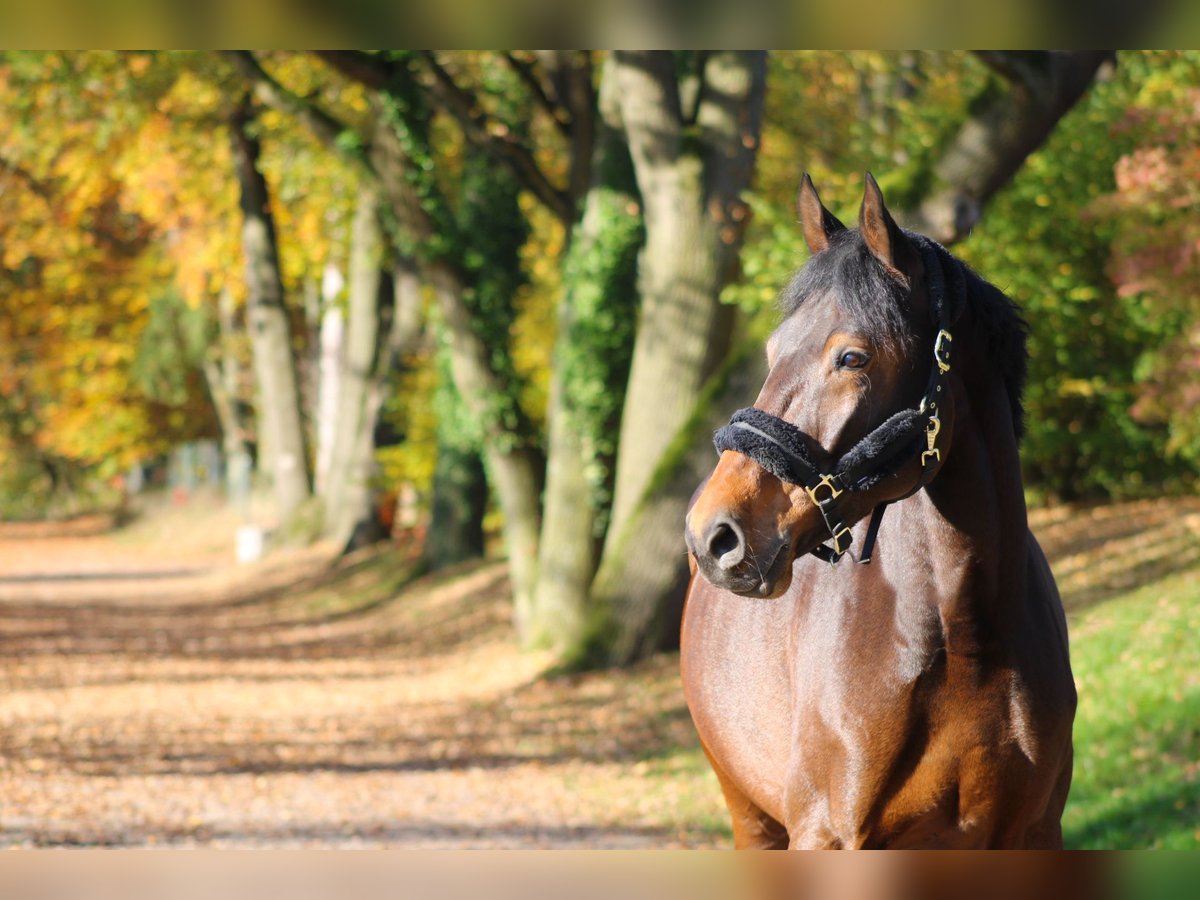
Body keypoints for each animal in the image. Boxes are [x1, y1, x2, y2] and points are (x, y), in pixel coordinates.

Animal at [686, 176, 1080, 854]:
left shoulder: (1031, 833)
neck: (965, 637)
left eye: (852, 358)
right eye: (772, 350)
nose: (715, 535)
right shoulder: (826, 836)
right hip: (750, 817)